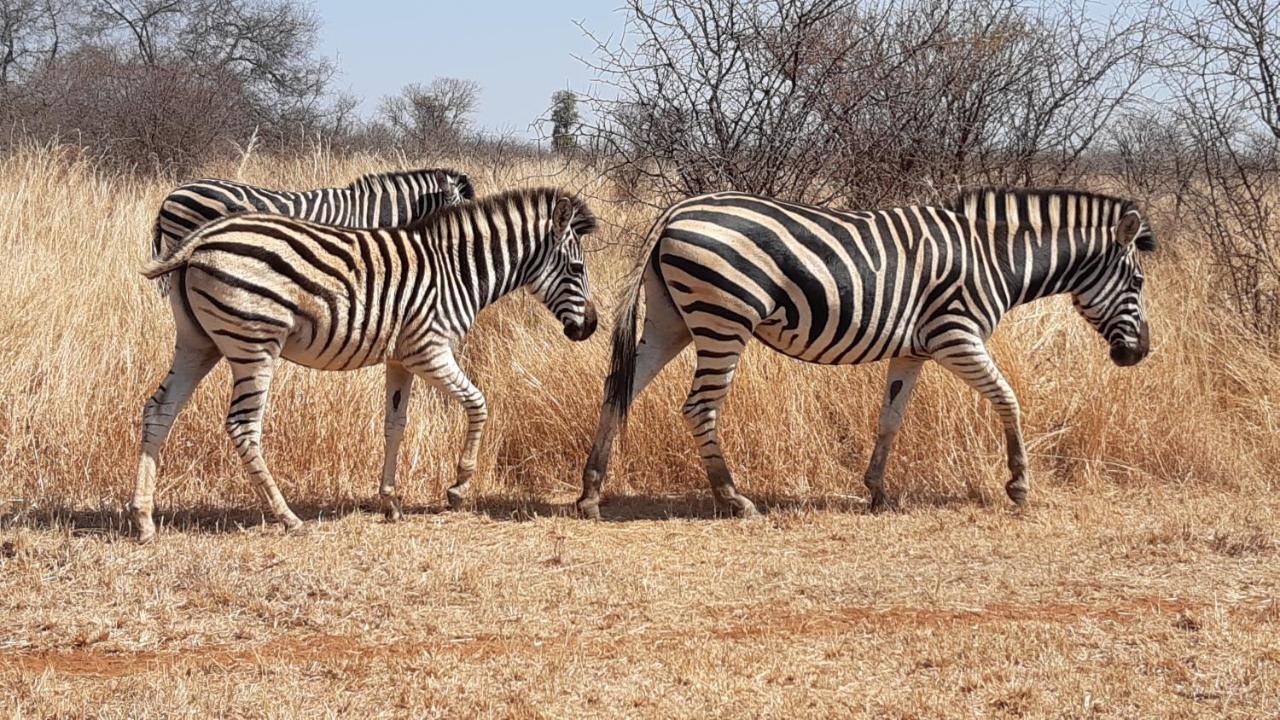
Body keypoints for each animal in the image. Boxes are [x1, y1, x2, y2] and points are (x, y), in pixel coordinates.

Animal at [129, 188, 599, 540]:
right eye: (577, 268)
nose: (591, 327)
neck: (457, 271)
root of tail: (202, 238)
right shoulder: (429, 349)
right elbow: (478, 404)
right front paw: (459, 486)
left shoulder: (401, 357)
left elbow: (395, 424)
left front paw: (389, 501)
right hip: (254, 344)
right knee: (242, 426)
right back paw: (287, 516)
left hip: (198, 343)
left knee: (159, 411)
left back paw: (144, 519)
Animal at [581, 185, 1162, 515]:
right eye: (1136, 282)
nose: (1139, 353)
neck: (995, 258)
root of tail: (679, 210)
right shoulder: (956, 334)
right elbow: (1008, 399)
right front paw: (1019, 485)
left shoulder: (914, 350)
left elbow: (890, 418)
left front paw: (877, 490)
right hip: (724, 318)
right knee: (699, 406)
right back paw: (732, 498)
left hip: (672, 321)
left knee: (618, 390)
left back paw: (590, 492)